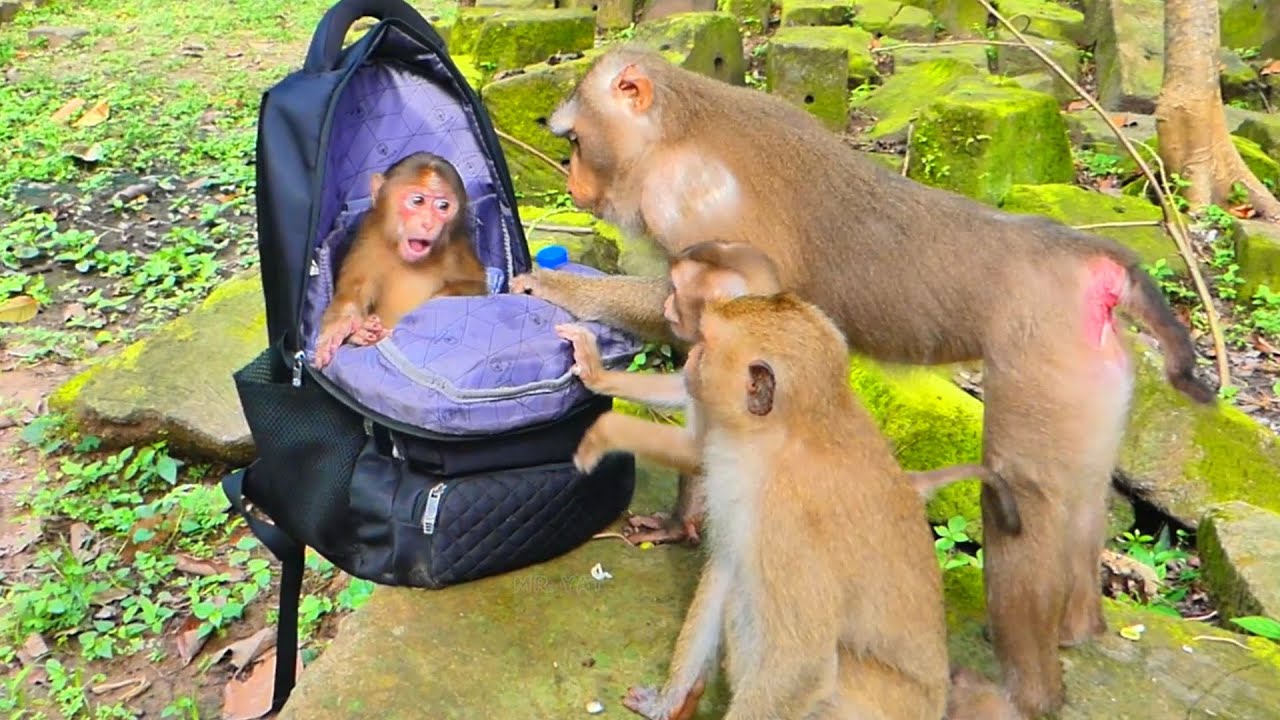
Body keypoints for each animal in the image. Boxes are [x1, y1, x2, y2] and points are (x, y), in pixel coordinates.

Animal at [313, 152, 488, 369]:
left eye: (443, 206)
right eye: (418, 201)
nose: (428, 223)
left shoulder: (456, 249)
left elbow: (476, 287)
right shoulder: (371, 236)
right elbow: (354, 289)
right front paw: (344, 327)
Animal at [620, 291, 1023, 720]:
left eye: (707, 344)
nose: (691, 358)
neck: (785, 434)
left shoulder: (786, 519)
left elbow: (802, 663)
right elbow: (726, 570)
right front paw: (666, 701)